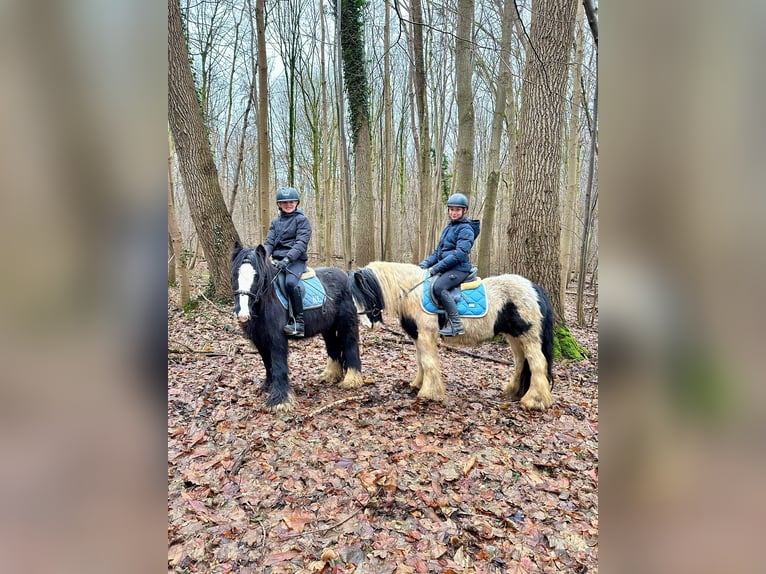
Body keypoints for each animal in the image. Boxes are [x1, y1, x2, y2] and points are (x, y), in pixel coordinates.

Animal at [230, 243, 364, 414]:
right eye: (235, 275)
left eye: (257, 276)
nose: (242, 314)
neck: (267, 301)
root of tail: (346, 277)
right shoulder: (260, 340)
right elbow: (267, 363)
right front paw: (267, 386)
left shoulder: (277, 339)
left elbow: (279, 366)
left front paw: (279, 401)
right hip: (327, 327)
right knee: (333, 347)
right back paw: (330, 375)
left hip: (347, 324)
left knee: (350, 345)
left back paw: (352, 379)